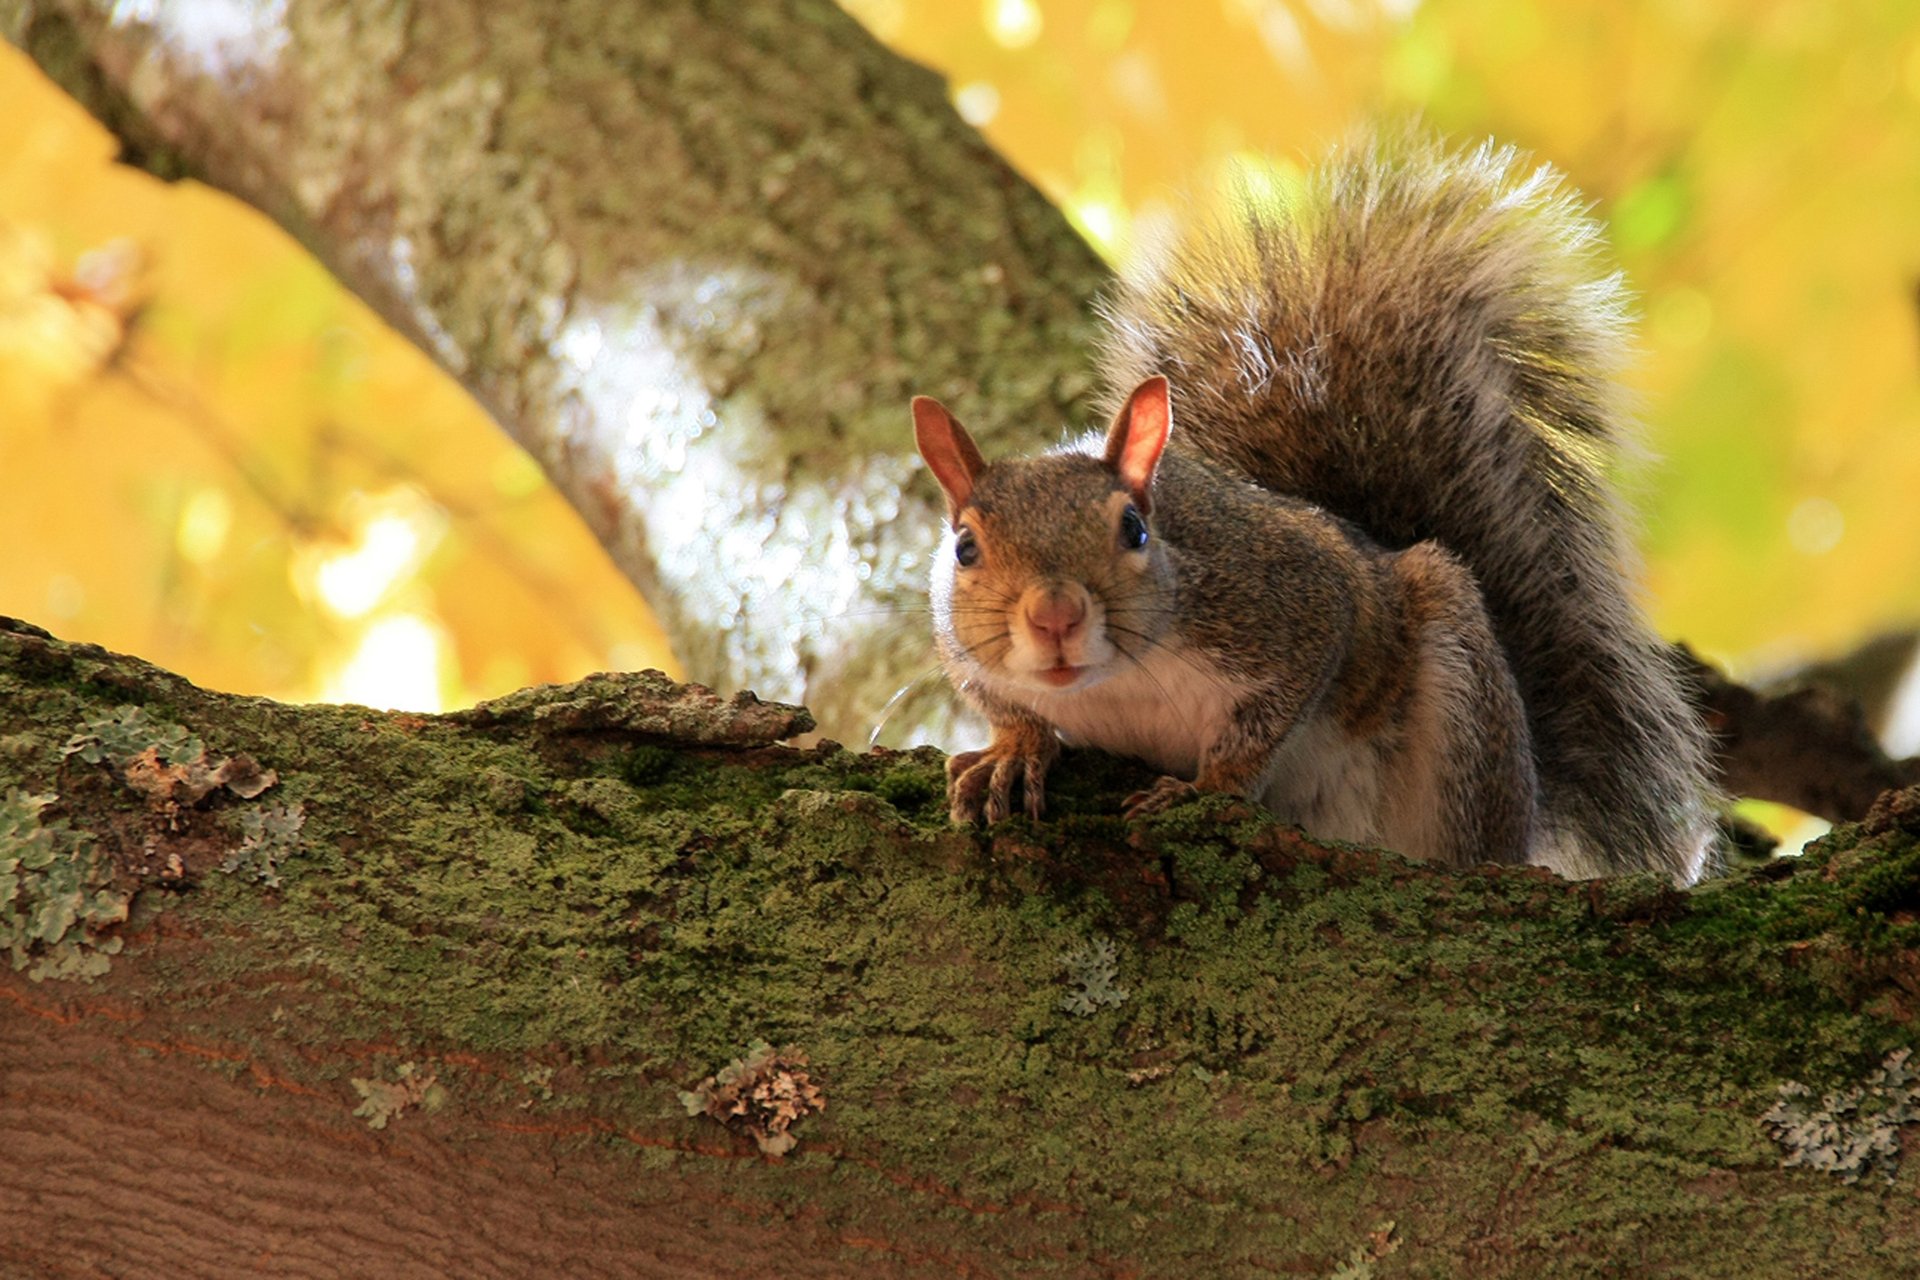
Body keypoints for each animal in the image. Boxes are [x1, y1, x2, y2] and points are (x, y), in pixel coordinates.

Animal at [906, 135, 1720, 886]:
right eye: (964, 547)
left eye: (1134, 529)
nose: (1054, 616)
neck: (1114, 684)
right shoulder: (967, 652)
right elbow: (1001, 703)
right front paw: (1012, 752)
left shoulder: (1290, 602)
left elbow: (1269, 717)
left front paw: (1210, 788)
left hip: (1464, 709)